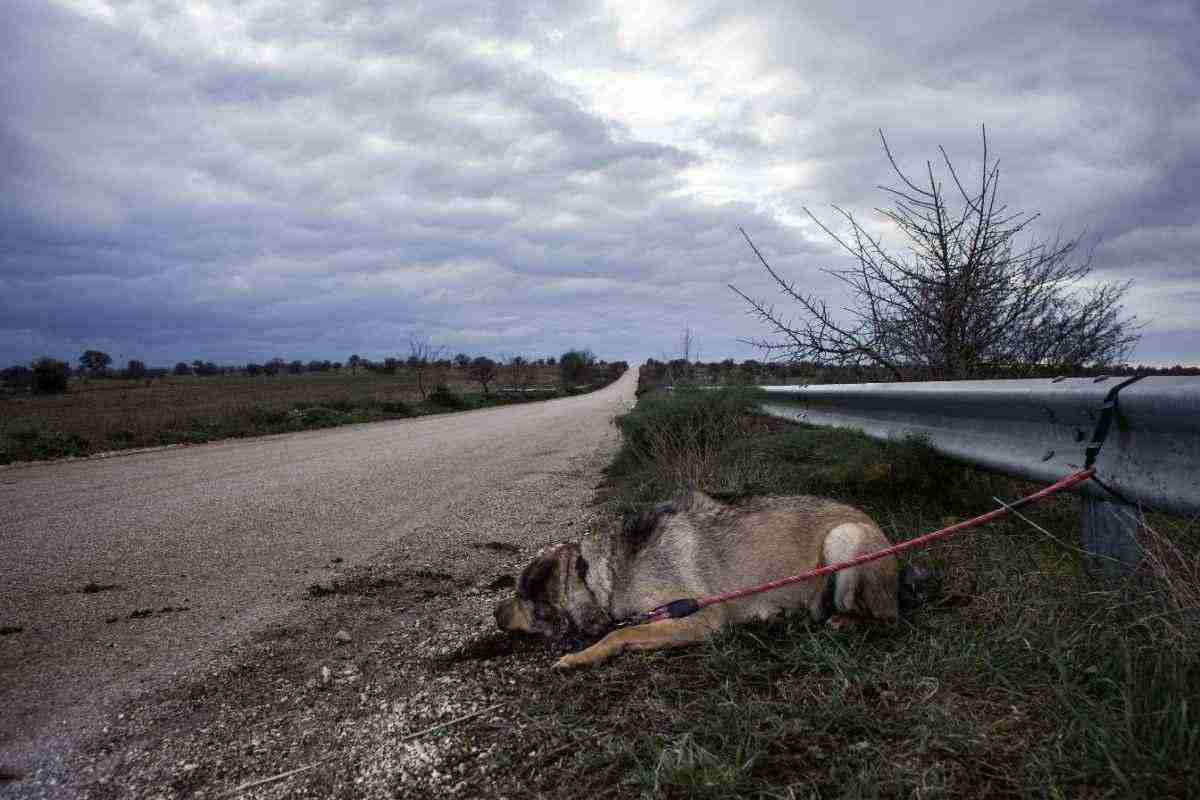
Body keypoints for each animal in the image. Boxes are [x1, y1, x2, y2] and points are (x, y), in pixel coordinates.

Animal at [492, 489, 912, 671]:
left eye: (519, 594)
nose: (495, 613)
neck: (594, 574)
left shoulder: (698, 617)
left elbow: (619, 634)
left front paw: (580, 657)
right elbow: (626, 631)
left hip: (844, 539)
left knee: (885, 617)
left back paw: (841, 619)